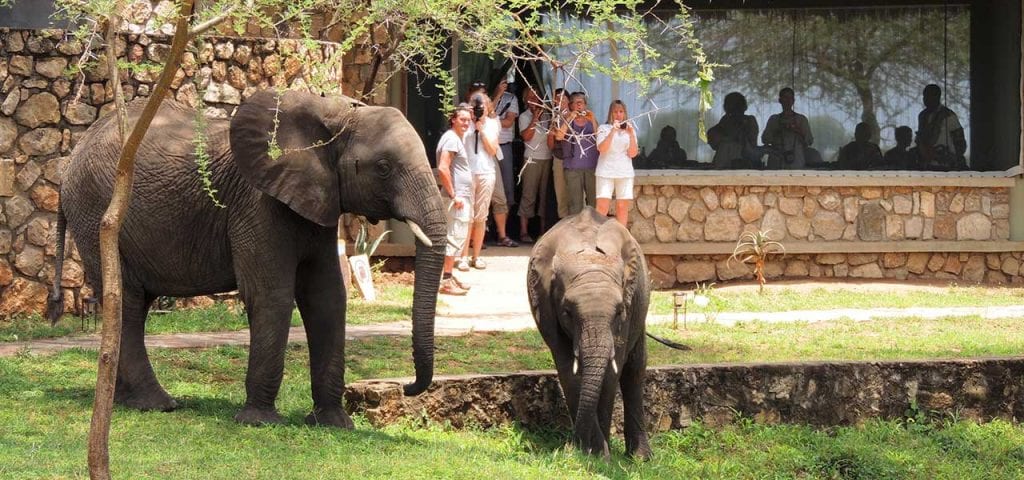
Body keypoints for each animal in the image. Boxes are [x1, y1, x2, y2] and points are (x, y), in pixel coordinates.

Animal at [49, 90, 446, 425]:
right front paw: (260, 423)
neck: (334, 114)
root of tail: (69, 161)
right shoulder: (258, 204)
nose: (406, 386)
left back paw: (122, 401)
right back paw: (157, 404)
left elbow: (327, 298)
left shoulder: (318, 201)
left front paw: (333, 424)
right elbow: (272, 297)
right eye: (383, 168)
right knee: (128, 302)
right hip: (97, 213)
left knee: (132, 302)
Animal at [524, 207, 651, 458]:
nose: (570, 447)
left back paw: (641, 458)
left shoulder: (629, 307)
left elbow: (612, 371)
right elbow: (568, 371)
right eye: (567, 312)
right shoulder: (545, 302)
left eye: (619, 311)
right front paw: (593, 453)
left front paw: (599, 455)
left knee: (634, 369)